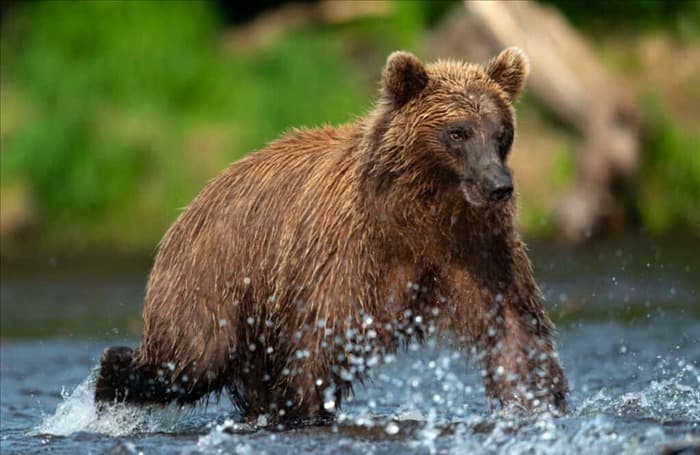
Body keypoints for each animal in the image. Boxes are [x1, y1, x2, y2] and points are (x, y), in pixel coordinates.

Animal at [95, 48, 568, 426]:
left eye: (501, 131)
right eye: (458, 131)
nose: (498, 185)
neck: (421, 213)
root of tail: (193, 201)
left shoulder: (475, 250)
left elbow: (514, 333)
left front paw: (539, 404)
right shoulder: (346, 252)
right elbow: (322, 341)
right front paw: (303, 411)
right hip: (213, 279)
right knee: (190, 358)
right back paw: (108, 383)